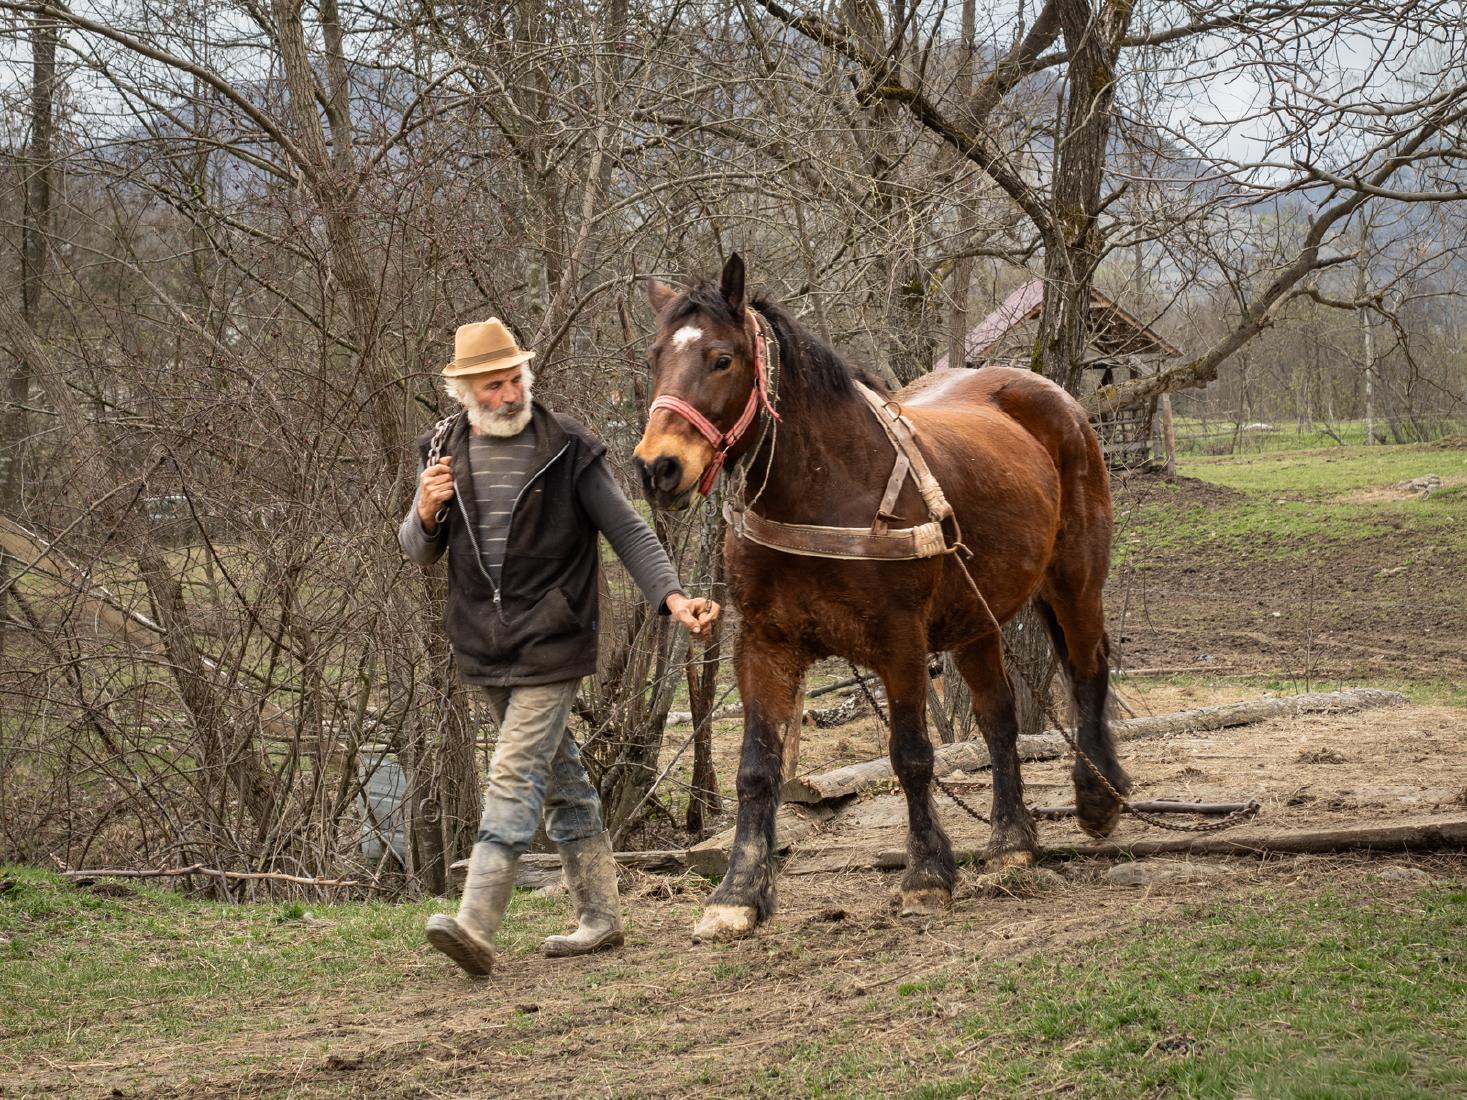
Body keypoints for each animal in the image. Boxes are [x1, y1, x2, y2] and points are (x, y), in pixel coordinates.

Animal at [633, 254, 1129, 943]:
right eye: (656, 356)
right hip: (975, 621)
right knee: (999, 719)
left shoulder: (900, 642)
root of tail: (1060, 403)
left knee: (1086, 671)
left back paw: (1098, 795)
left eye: (721, 358)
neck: (824, 489)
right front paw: (738, 893)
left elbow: (912, 756)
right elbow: (756, 769)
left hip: (1074, 582)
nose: (658, 468)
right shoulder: (764, 644)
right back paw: (1011, 840)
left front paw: (926, 876)